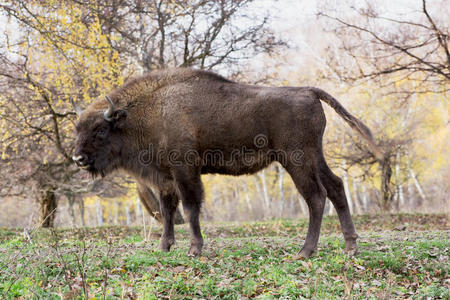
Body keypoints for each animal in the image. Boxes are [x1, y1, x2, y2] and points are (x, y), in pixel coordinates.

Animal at [73, 68, 380, 258]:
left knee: (316, 196)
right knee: (336, 186)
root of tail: (308, 91)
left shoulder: (185, 170)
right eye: (77, 128)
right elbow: (168, 210)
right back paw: (350, 246)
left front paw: (194, 249)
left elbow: (190, 208)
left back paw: (304, 252)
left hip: (297, 160)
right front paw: (164, 247)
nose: (77, 158)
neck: (151, 112)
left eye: (100, 130)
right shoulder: (165, 178)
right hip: (315, 157)